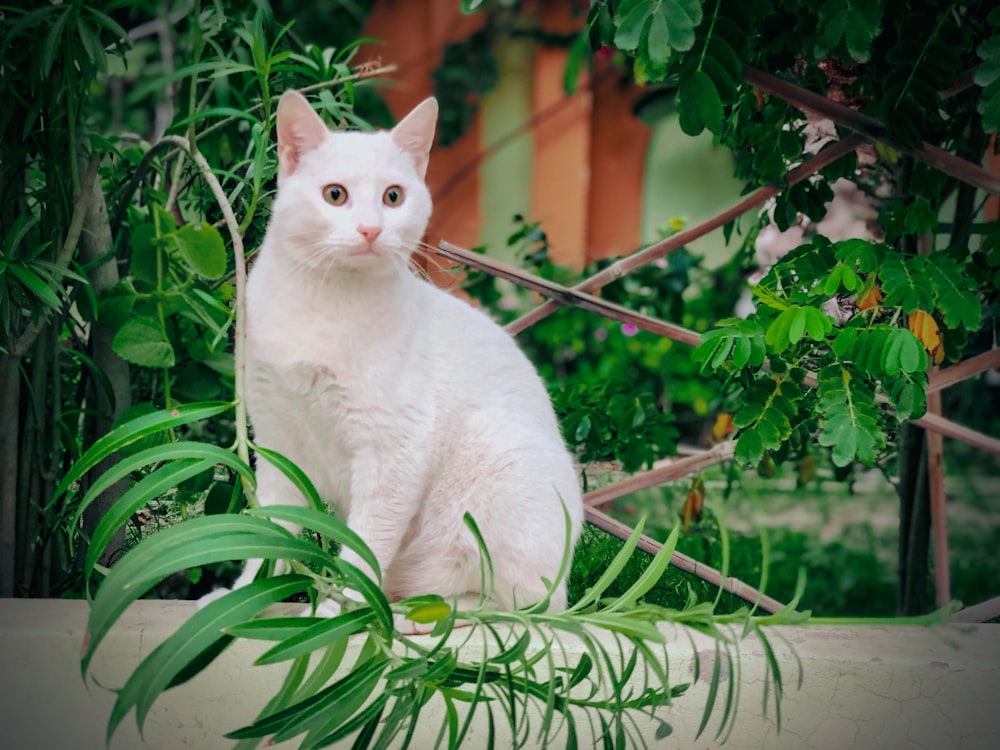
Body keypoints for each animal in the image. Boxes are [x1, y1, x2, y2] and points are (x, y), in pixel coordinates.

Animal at [223, 91, 584, 636]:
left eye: (393, 197)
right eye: (335, 195)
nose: (372, 229)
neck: (326, 303)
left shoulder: (393, 450)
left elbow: (365, 544)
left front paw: (340, 610)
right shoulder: (279, 441)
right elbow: (271, 529)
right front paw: (242, 597)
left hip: (500, 477)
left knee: (513, 604)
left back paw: (416, 613)